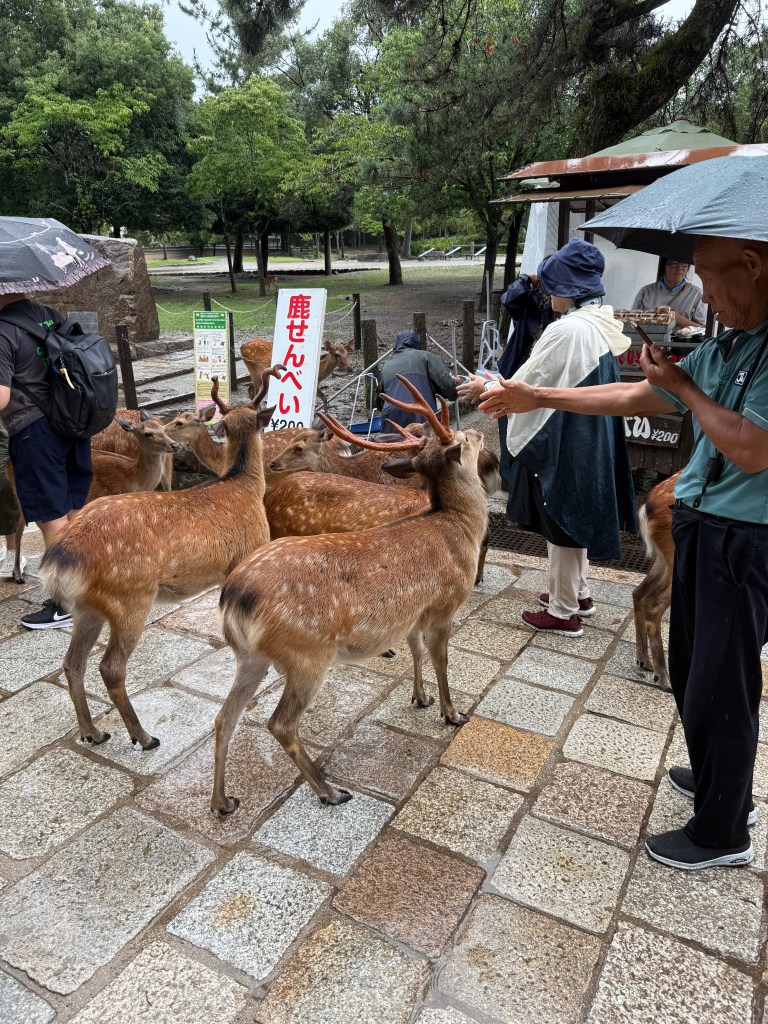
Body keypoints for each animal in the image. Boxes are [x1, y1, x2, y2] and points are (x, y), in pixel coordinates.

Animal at [39, 366, 283, 751]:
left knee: (72, 663)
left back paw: (93, 732)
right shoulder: (246, 556)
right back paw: (143, 736)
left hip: (86, 607)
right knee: (110, 666)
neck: (243, 485)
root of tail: (60, 559)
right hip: (131, 598)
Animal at [210, 376, 490, 813]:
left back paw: (222, 801)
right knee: (280, 722)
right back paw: (329, 790)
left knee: (225, 717)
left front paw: (420, 698)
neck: (458, 527)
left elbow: (415, 651)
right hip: (307, 652)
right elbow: (441, 659)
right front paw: (451, 712)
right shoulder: (444, 604)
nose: (479, 432)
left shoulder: (413, 611)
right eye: (462, 438)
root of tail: (234, 597)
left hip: (250, 656)